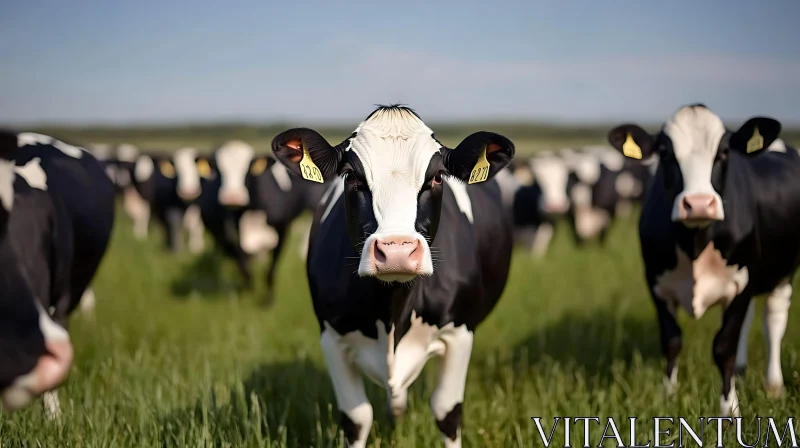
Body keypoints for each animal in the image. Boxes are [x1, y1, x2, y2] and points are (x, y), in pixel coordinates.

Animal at [198, 140, 326, 306]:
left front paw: (268, 300)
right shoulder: (223, 235)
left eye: (248, 169)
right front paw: (246, 290)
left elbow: (270, 270)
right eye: (218, 171)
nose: (233, 197)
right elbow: (244, 268)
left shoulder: (282, 229)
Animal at [272, 106, 516, 448]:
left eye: (437, 176)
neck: (393, 311)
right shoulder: (331, 336)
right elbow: (356, 418)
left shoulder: (459, 332)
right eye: (351, 176)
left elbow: (447, 412)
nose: (397, 250)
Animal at [608, 104, 800, 416]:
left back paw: (773, 386)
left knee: (774, 320)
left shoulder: (741, 283)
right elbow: (672, 340)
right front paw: (668, 396)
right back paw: (742, 372)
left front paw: (729, 410)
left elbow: (724, 347)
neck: (695, 243)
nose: (698, 204)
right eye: (665, 152)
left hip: (784, 274)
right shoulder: (656, 283)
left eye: (724, 152)